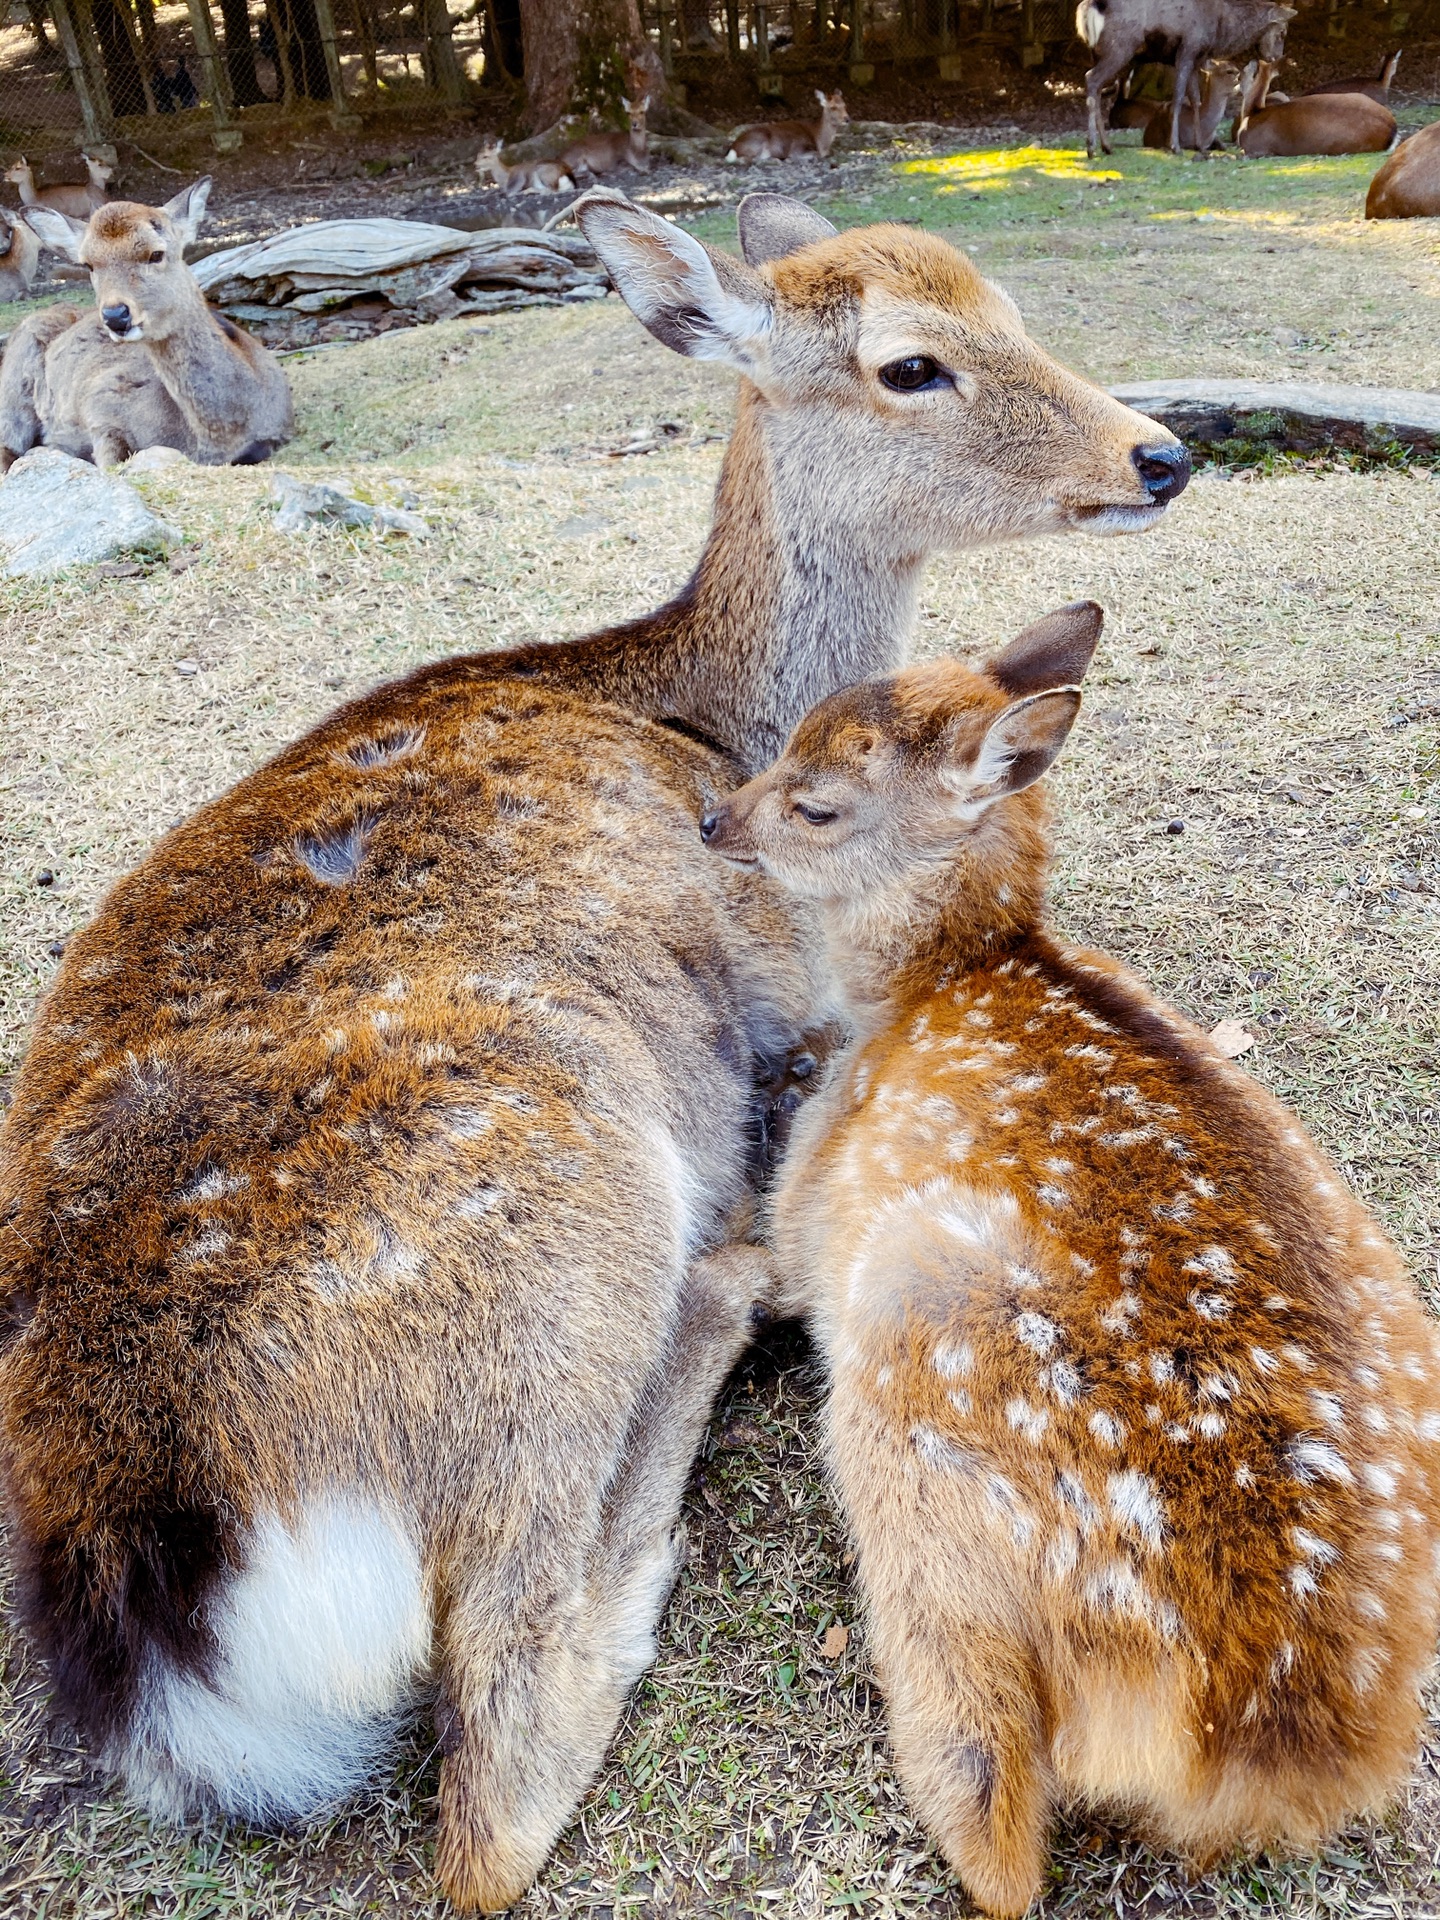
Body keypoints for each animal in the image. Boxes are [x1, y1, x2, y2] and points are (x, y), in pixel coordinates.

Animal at [706, 606, 1440, 1912]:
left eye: (818, 803)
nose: (711, 820)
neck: (926, 990)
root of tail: (1262, 1728)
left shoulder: (808, 1207)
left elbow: (766, 1256)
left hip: (914, 1342)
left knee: (996, 1816)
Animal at [1082, 0, 1297, 155]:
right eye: (1282, 32)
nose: (1276, 57)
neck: (1220, 27)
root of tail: (1090, 8)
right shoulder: (1187, 49)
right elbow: (1177, 97)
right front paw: (1175, 146)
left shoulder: (1197, 59)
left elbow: (1195, 99)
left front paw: (1200, 145)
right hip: (1120, 47)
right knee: (1091, 79)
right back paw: (1092, 147)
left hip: (1098, 52)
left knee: (1098, 87)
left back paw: (1106, 146)